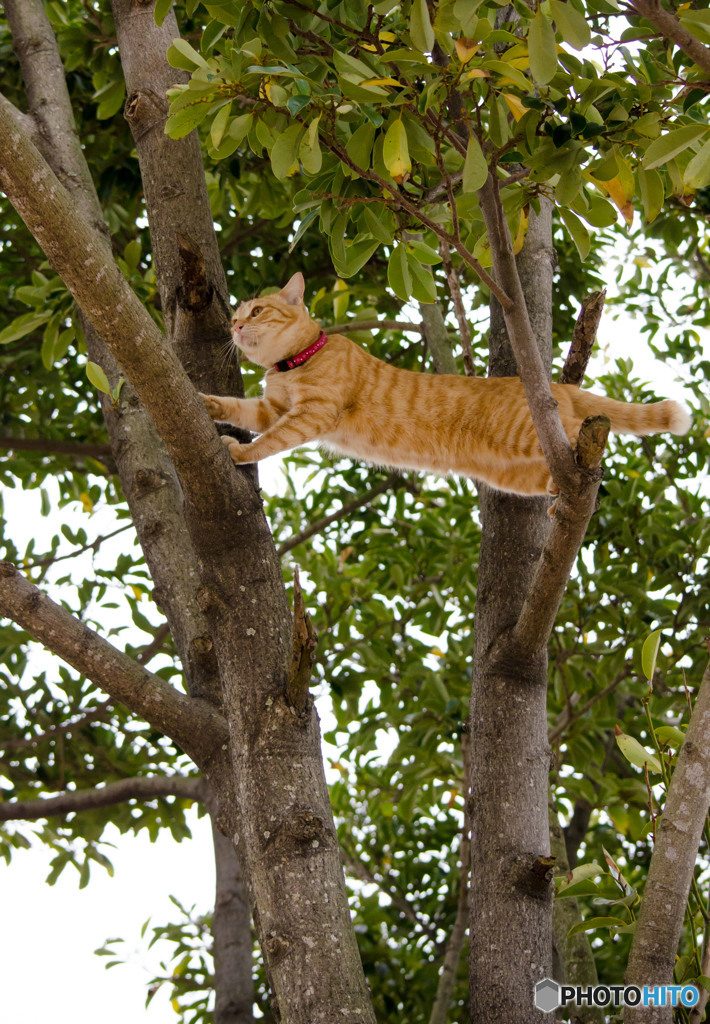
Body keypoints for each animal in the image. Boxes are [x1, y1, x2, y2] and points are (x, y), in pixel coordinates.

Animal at [200, 272, 692, 495]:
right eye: (236, 314)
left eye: (258, 310)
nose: (235, 326)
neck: (291, 365)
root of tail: (557, 385)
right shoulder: (274, 408)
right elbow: (239, 408)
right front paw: (209, 405)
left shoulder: (311, 413)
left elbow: (269, 440)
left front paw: (240, 452)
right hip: (517, 475)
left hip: (542, 435)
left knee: (583, 441)